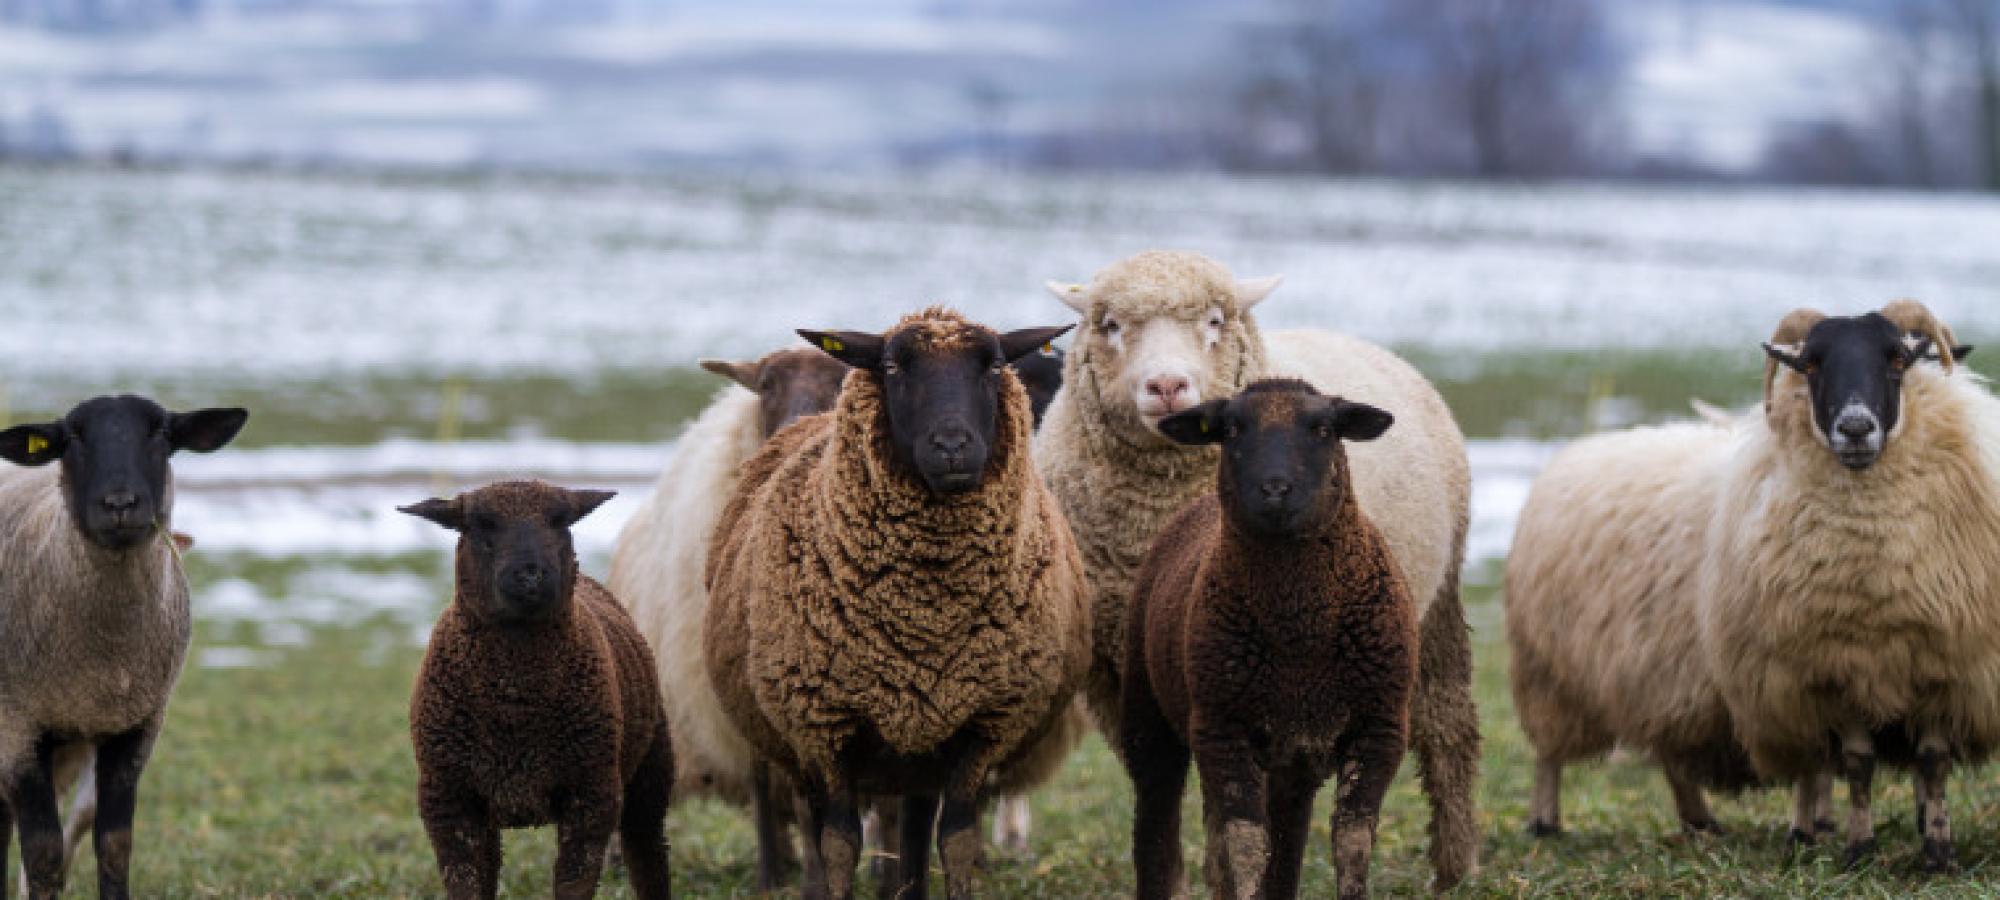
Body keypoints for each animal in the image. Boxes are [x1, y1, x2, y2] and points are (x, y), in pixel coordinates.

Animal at [0, 394, 248, 900]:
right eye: (72, 437)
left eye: (161, 433)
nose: (119, 504)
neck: (106, 656)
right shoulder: (16, 725)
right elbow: (43, 852)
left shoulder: (136, 726)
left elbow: (114, 843)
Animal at [401, 480, 672, 899]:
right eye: (481, 524)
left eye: (560, 521)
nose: (531, 575)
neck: (515, 701)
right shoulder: (448, 801)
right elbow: (468, 884)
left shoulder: (591, 797)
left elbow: (574, 883)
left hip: (650, 771)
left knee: (648, 854)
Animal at [705, 308, 1091, 900]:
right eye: (891, 366)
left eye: (995, 364)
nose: (953, 445)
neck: (927, 617)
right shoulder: (825, 728)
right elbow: (839, 845)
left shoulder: (982, 723)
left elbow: (956, 841)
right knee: (811, 818)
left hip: (920, 749)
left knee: (911, 829)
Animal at [1121, 379, 1414, 900]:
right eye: (1232, 429)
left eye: (1323, 429)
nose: (1275, 490)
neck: (1299, 636)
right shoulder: (1223, 730)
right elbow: (1246, 848)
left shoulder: (1380, 728)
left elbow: (1352, 843)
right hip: (1148, 713)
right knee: (1155, 818)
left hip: (1287, 760)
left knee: (1286, 834)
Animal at [1699, 301, 2000, 872]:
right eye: (1812, 365)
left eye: (1899, 360)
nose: (1856, 427)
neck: (1875, 576)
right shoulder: (1837, 669)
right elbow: (1858, 765)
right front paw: (1860, 849)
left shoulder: (1941, 667)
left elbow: (1933, 762)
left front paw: (1939, 852)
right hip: (1786, 692)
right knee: (1811, 764)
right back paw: (1802, 834)